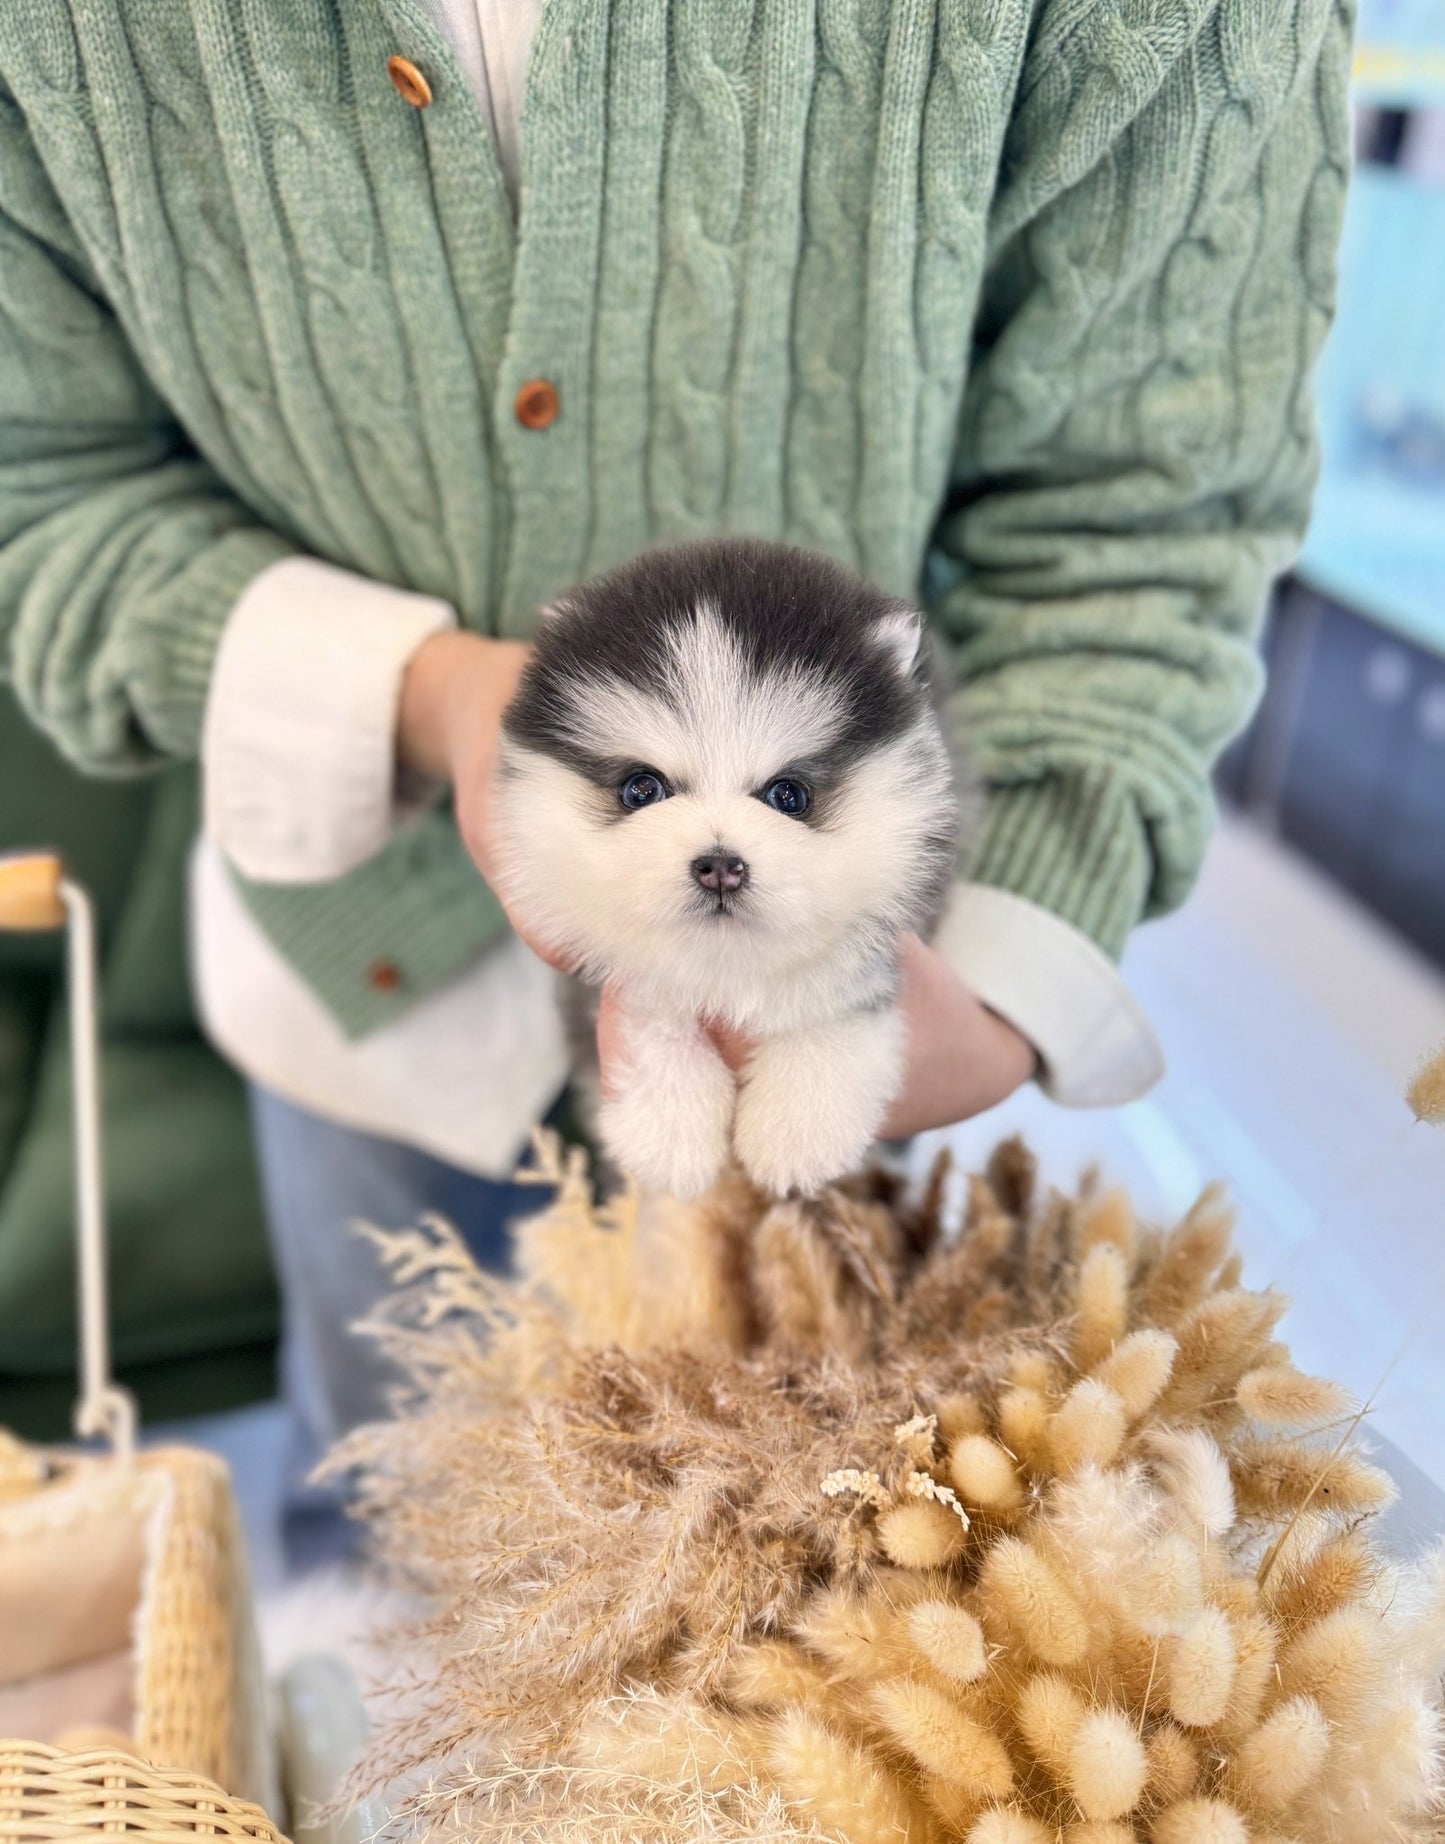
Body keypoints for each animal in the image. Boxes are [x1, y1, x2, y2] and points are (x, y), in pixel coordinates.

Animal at [493, 538, 958, 1194]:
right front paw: (669, 1132)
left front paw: (799, 1130)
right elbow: (651, 1011)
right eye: (642, 788)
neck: (727, 967)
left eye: (789, 795)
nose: (719, 866)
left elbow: (836, 1002)